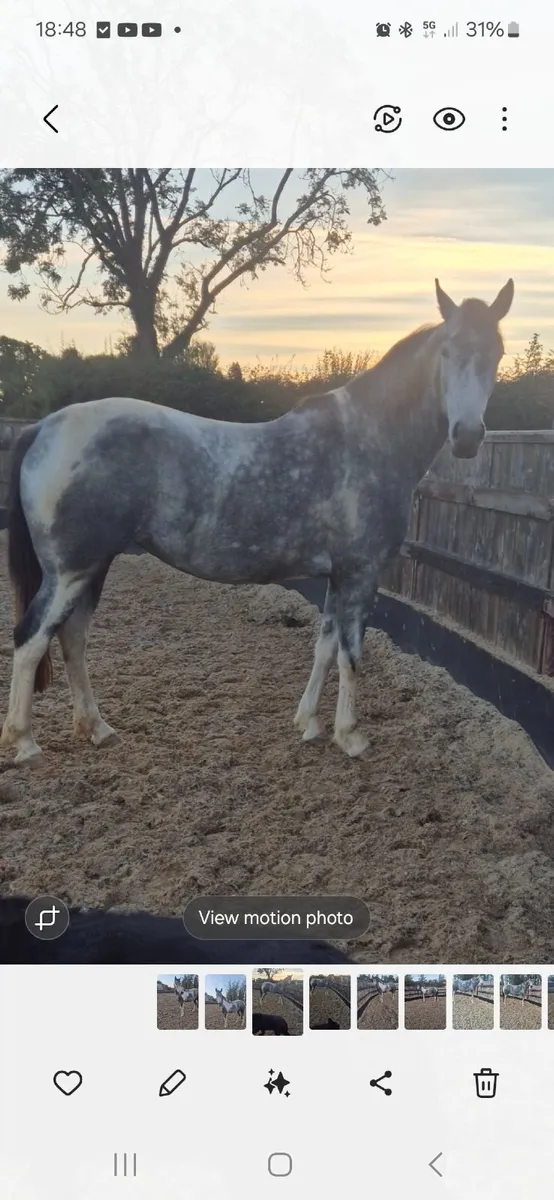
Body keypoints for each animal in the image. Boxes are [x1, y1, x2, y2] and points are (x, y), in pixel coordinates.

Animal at [0, 278, 513, 765]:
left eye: (498, 352)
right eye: (447, 352)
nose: (468, 436)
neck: (369, 440)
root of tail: (43, 428)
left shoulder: (337, 576)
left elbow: (324, 647)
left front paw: (308, 723)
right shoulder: (361, 575)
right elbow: (351, 655)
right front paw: (350, 736)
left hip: (93, 568)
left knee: (73, 638)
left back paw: (97, 728)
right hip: (71, 571)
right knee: (31, 638)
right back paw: (25, 743)